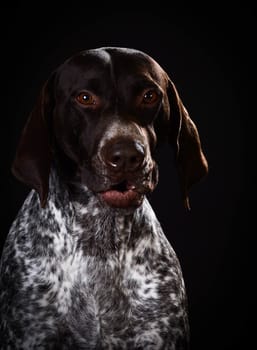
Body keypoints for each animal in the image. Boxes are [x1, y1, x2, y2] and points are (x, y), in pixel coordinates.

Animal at [0, 47, 207, 350]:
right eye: (85, 98)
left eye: (149, 96)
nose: (127, 156)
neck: (100, 242)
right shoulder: (30, 334)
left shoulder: (160, 334)